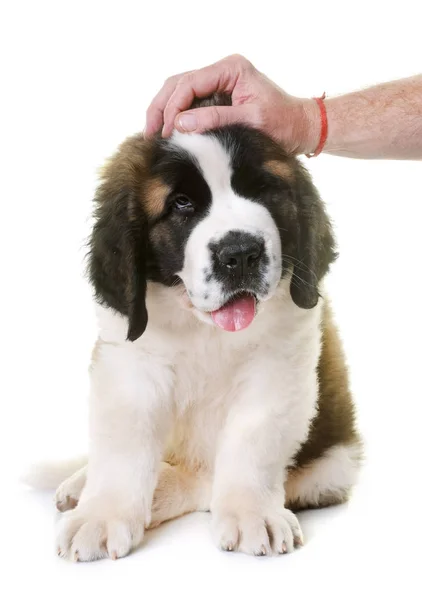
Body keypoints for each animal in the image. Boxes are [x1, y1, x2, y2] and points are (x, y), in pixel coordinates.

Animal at [28, 95, 362, 564]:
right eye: (182, 204)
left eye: (261, 189)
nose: (240, 253)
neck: (204, 329)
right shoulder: (130, 366)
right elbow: (123, 445)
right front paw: (102, 513)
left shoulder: (279, 371)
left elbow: (252, 441)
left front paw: (251, 512)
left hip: (331, 467)